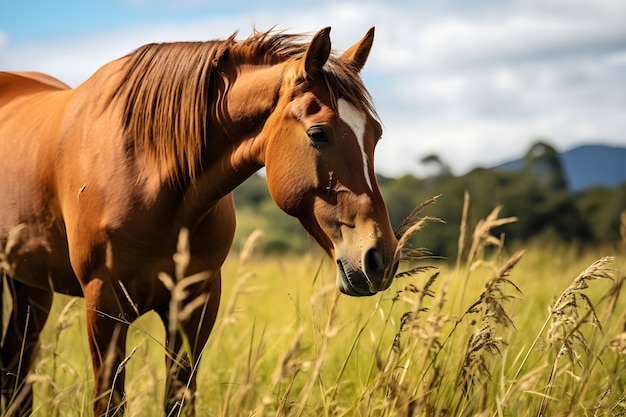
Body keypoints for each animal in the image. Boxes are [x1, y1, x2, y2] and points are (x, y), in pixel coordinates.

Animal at [0, 27, 398, 414]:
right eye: (318, 133)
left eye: (376, 134)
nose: (380, 258)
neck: (147, 170)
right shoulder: (103, 305)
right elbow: (109, 402)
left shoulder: (196, 304)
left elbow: (178, 399)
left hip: (31, 286)